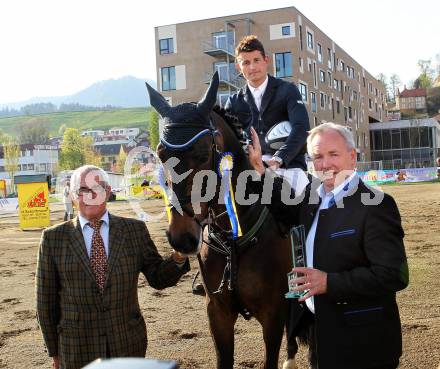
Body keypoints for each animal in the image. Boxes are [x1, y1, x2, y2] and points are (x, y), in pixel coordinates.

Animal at [147, 72, 300, 368]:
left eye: (205, 152)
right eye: (161, 154)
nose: (181, 237)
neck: (234, 241)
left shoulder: (273, 313)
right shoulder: (217, 312)